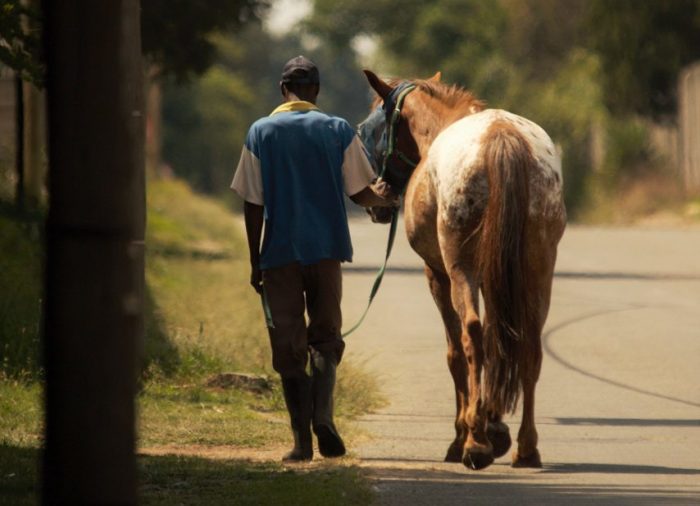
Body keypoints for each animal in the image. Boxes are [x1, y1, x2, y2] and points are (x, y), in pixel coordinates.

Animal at [358, 70, 568, 470]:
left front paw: (466, 434)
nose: (376, 198)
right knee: (528, 343)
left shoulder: (438, 275)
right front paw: (494, 424)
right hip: (537, 270)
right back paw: (525, 447)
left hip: (461, 270)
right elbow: (495, 337)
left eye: (367, 128)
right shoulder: (493, 277)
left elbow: (456, 350)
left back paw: (475, 444)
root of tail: (501, 137)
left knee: (470, 335)